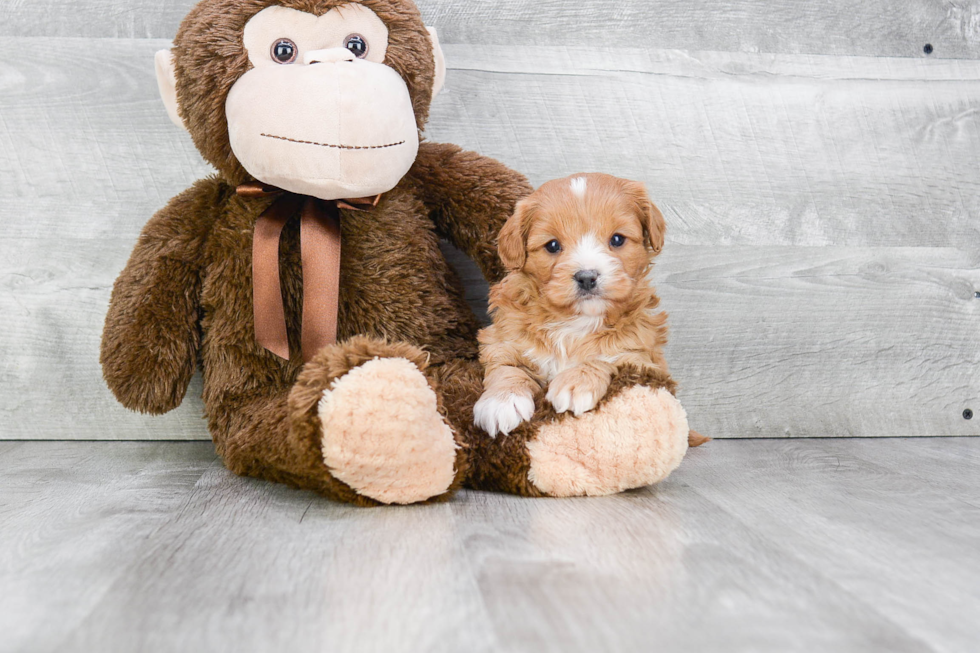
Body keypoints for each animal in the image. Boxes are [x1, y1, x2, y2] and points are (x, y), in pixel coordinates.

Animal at [472, 172, 708, 444]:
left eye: (617, 239)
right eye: (552, 245)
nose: (586, 277)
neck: (576, 321)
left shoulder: (643, 355)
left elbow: (609, 356)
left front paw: (577, 381)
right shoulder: (502, 337)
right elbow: (506, 365)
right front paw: (502, 401)